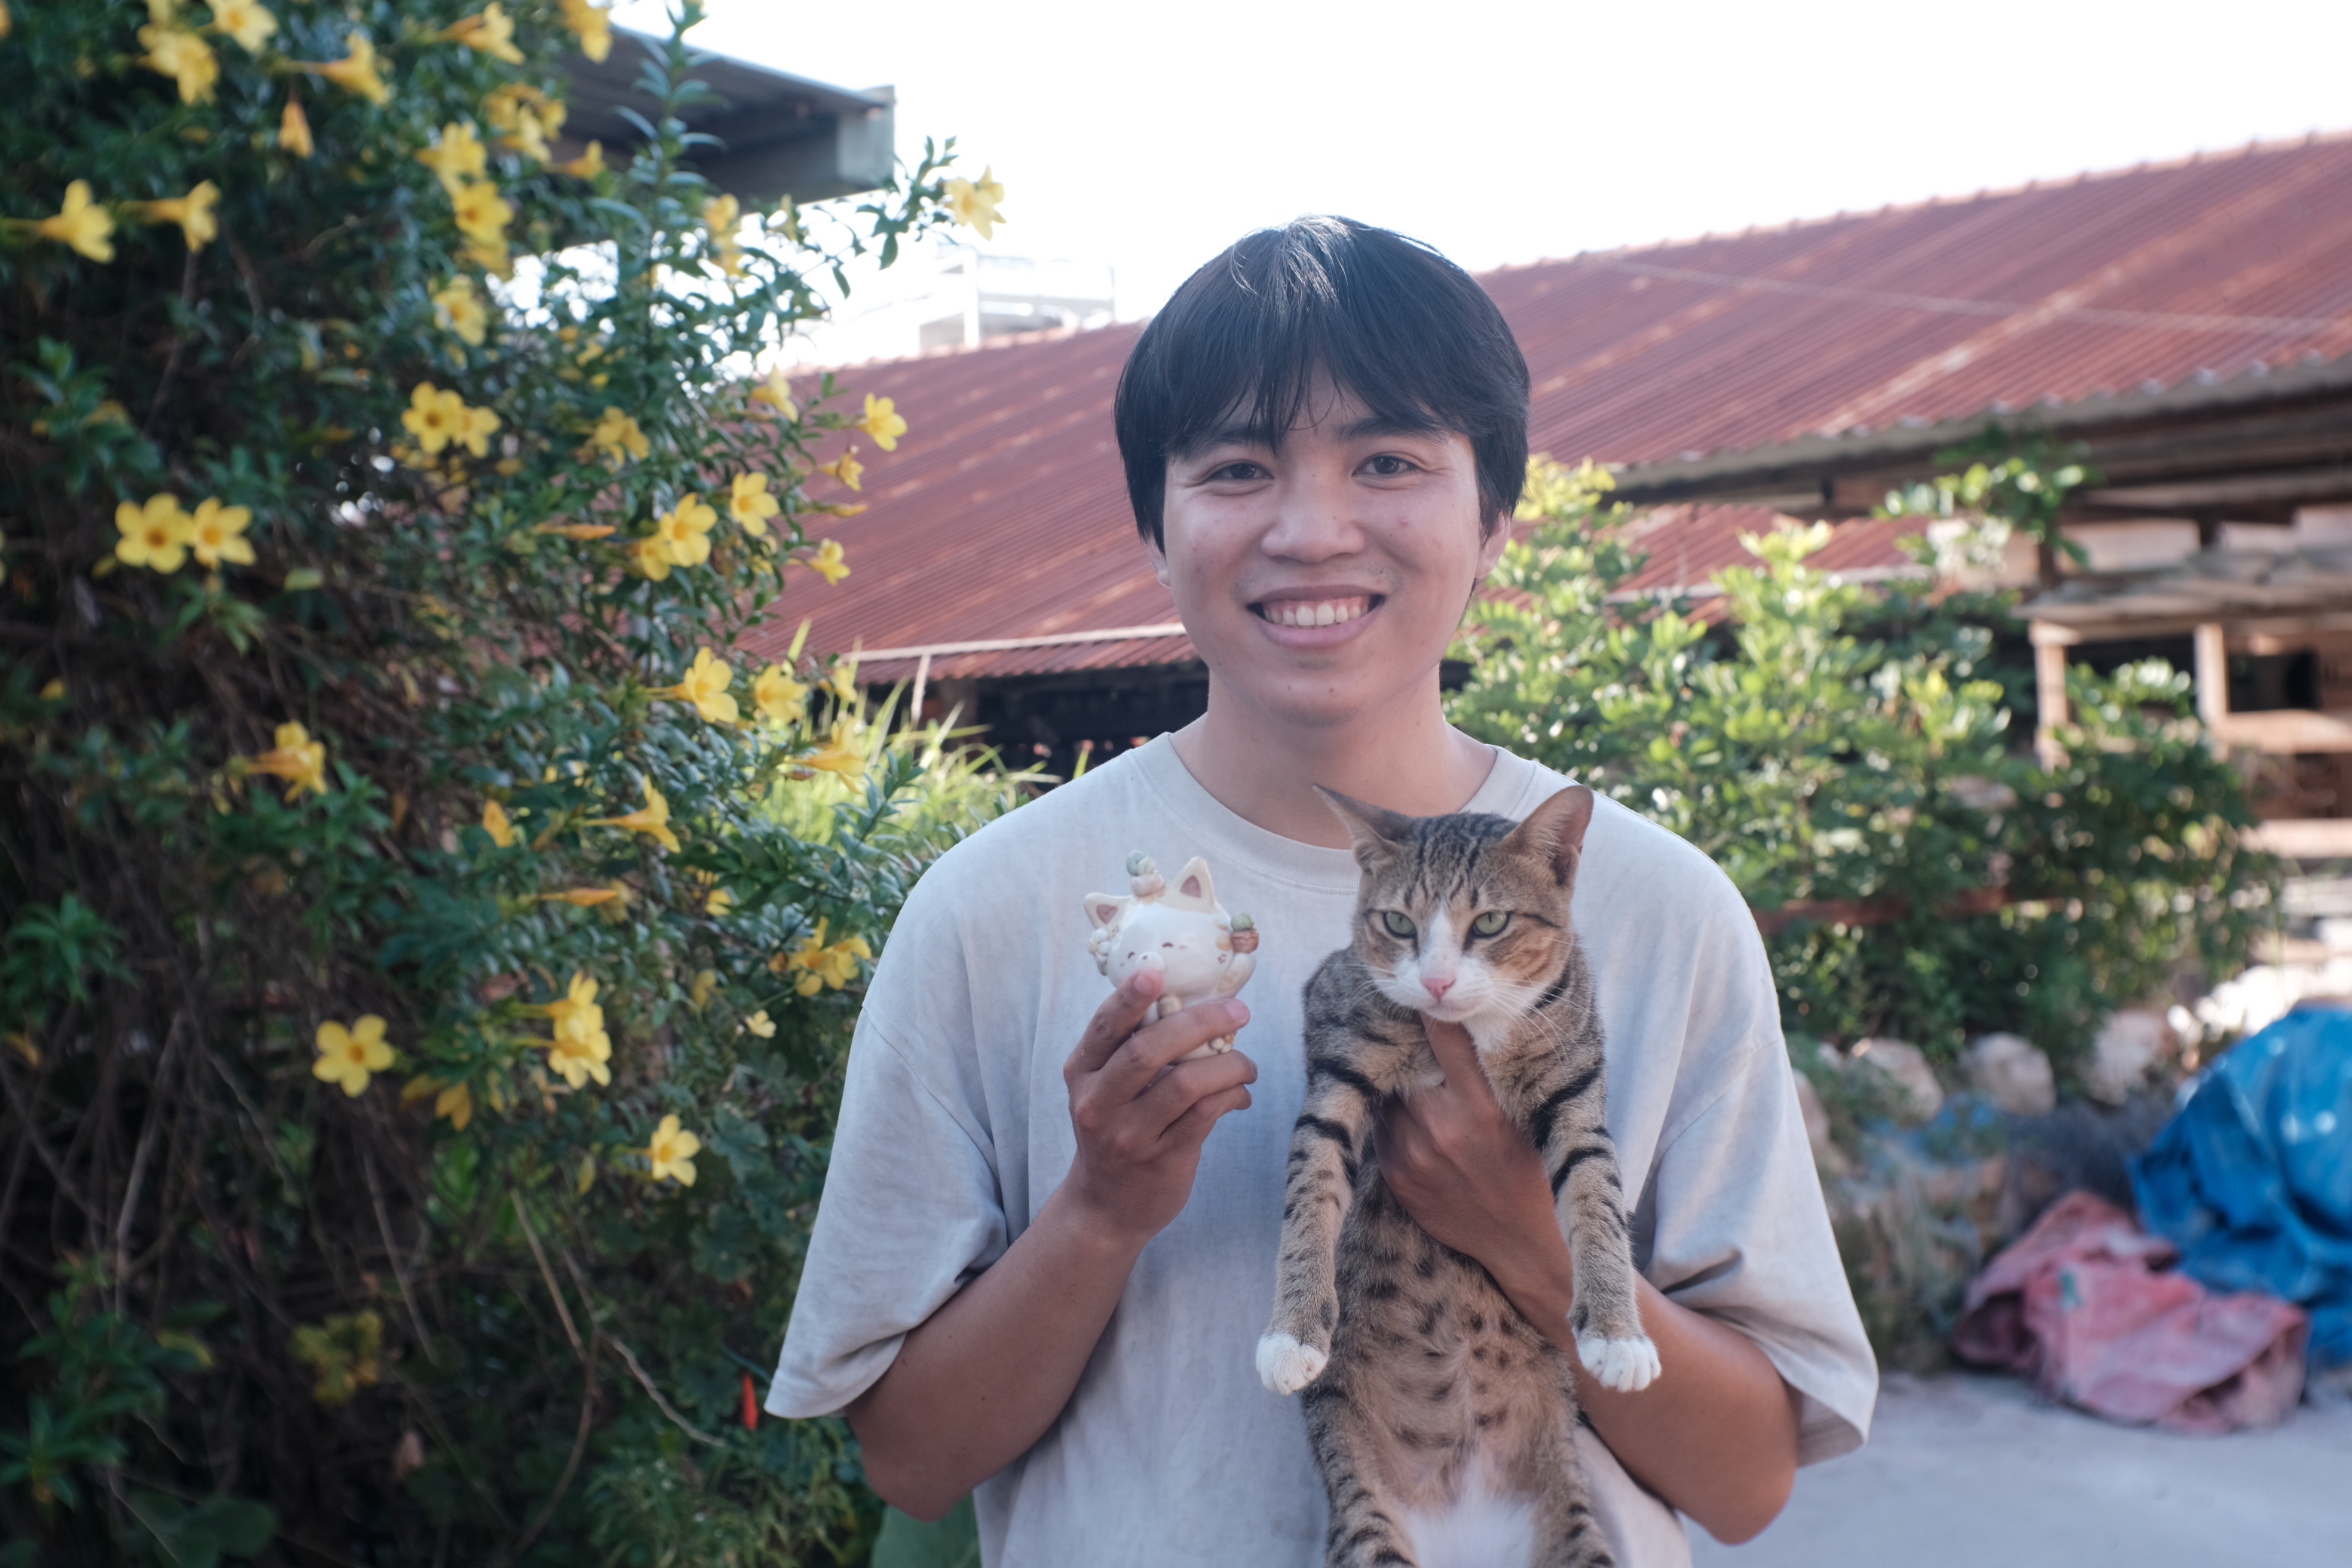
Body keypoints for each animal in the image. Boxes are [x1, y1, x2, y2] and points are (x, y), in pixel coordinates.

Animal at [1260, 785, 1664, 1568]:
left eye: (1492, 923)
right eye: (1397, 923)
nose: (1438, 980)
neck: (1466, 1031)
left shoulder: (1575, 1087)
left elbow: (1597, 1196)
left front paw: (1617, 1333)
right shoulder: (1339, 1059)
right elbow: (1310, 1191)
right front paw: (1293, 1332)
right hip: (1368, 1515)